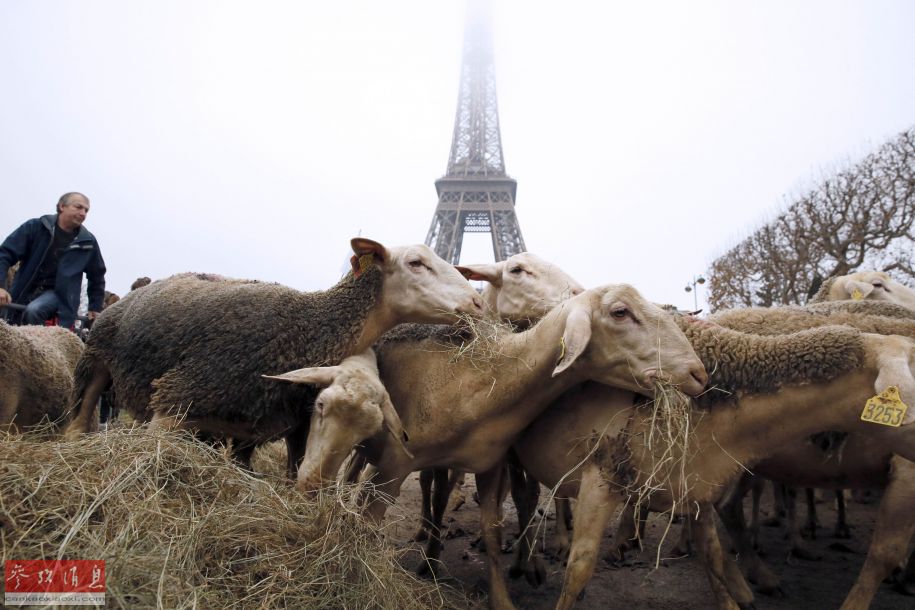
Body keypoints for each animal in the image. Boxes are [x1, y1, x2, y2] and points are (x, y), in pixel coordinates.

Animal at [64, 238, 486, 476]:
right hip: (94, 363)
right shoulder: (175, 399)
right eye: (416, 263)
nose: (479, 303)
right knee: (77, 423)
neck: (305, 327)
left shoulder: (276, 428)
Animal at [512, 318, 915, 608]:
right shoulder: (601, 478)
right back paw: (526, 564)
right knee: (524, 500)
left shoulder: (696, 486)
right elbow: (579, 568)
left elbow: (715, 558)